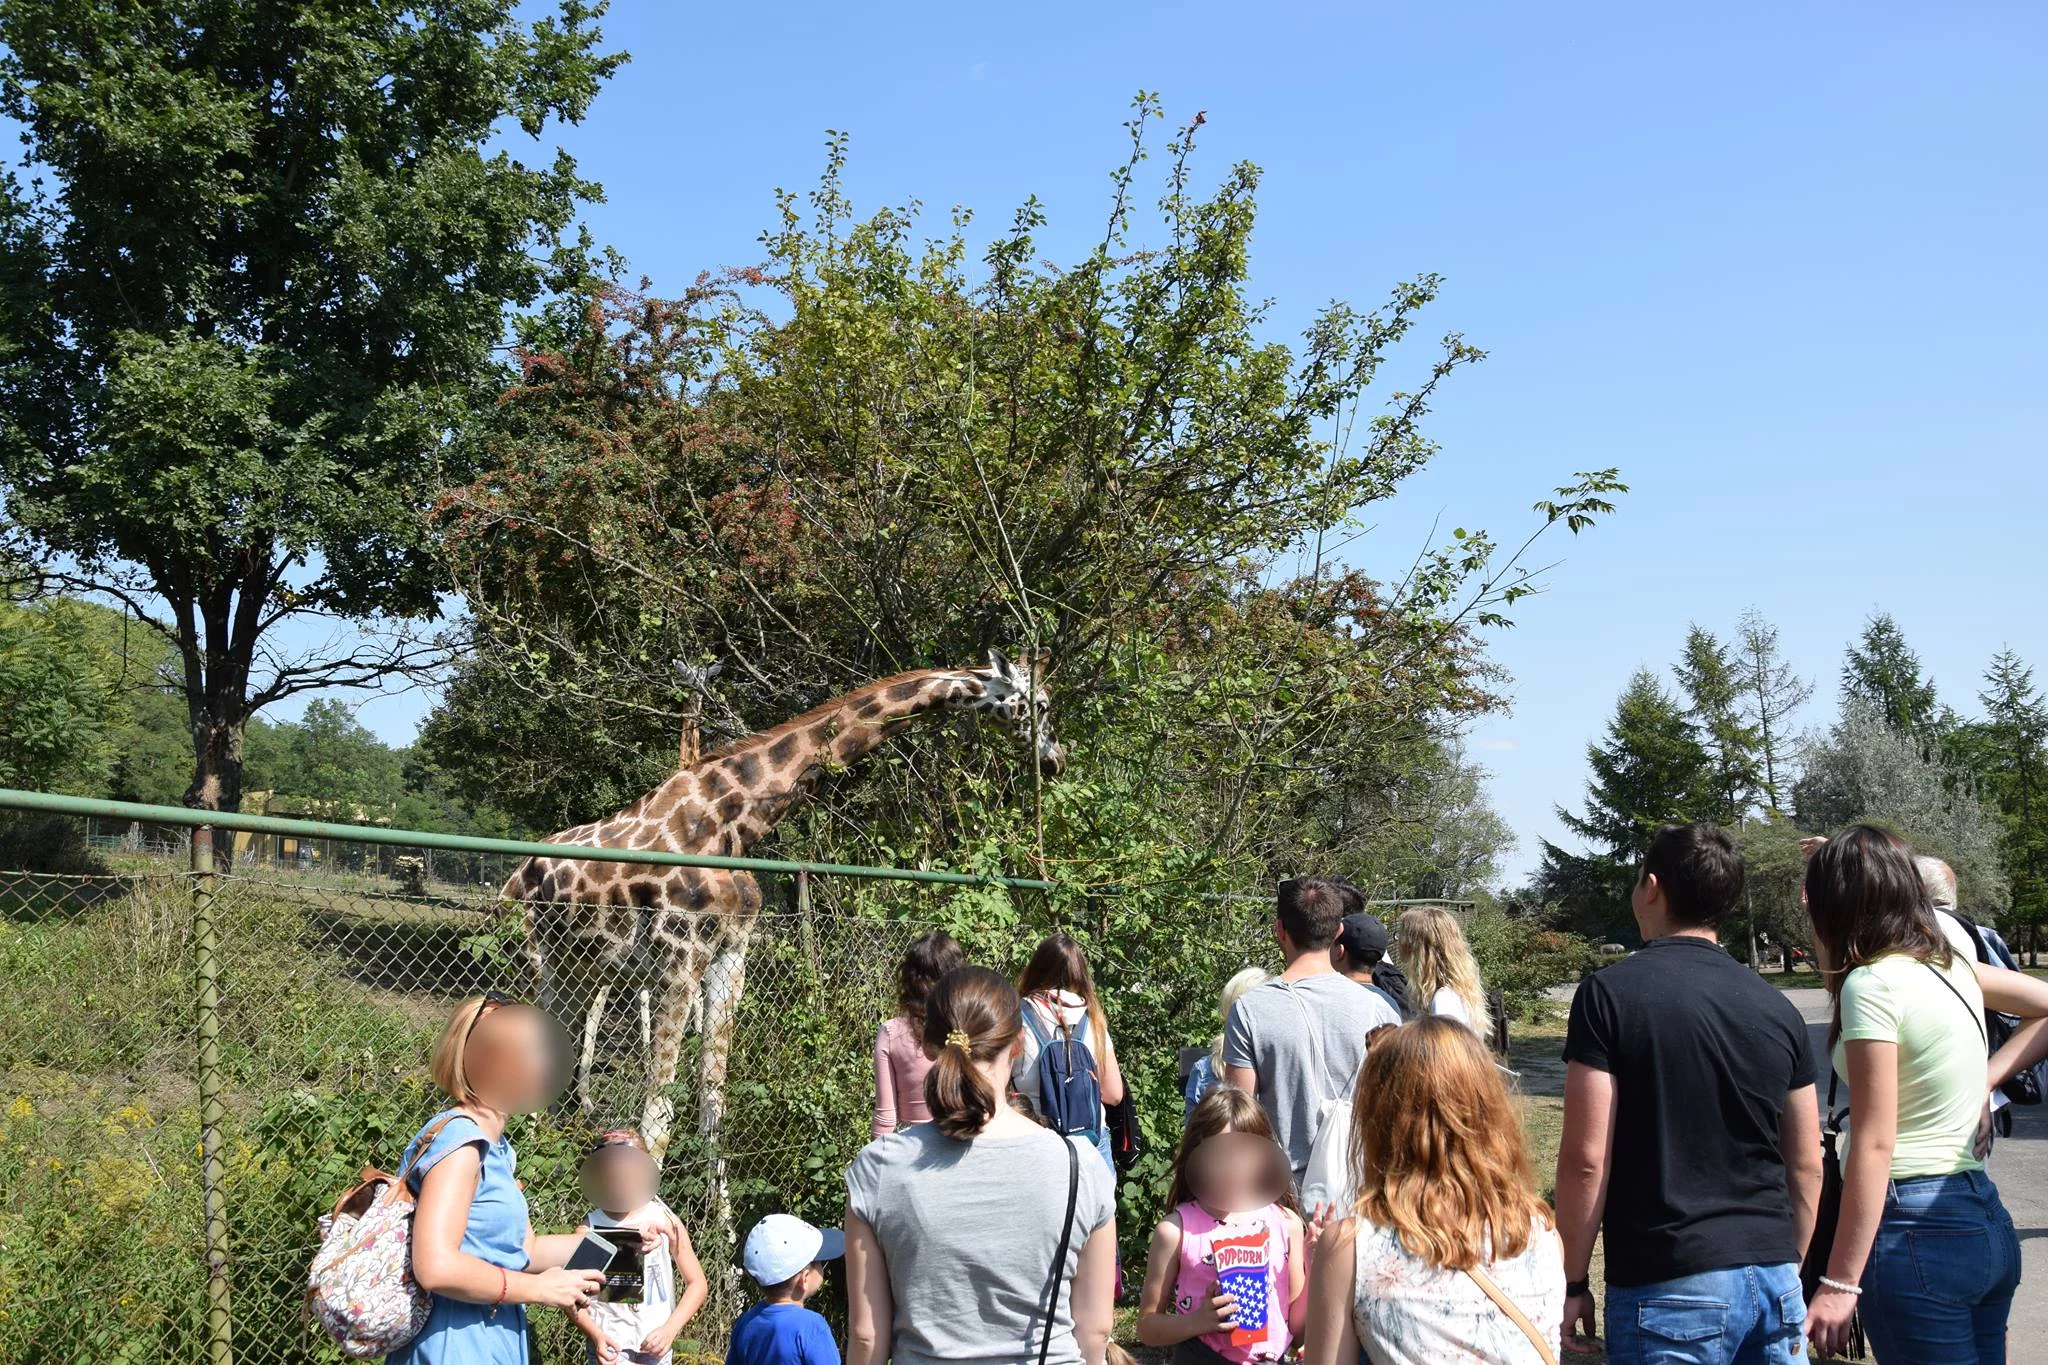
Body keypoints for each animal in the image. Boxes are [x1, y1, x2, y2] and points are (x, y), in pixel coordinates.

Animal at [501, 650, 1064, 1162]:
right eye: (1040, 703)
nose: (1056, 760)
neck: (728, 824)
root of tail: (514, 874)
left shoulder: (730, 956)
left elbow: (712, 1106)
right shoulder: (677, 961)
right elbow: (656, 1119)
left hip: (583, 969)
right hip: (535, 962)